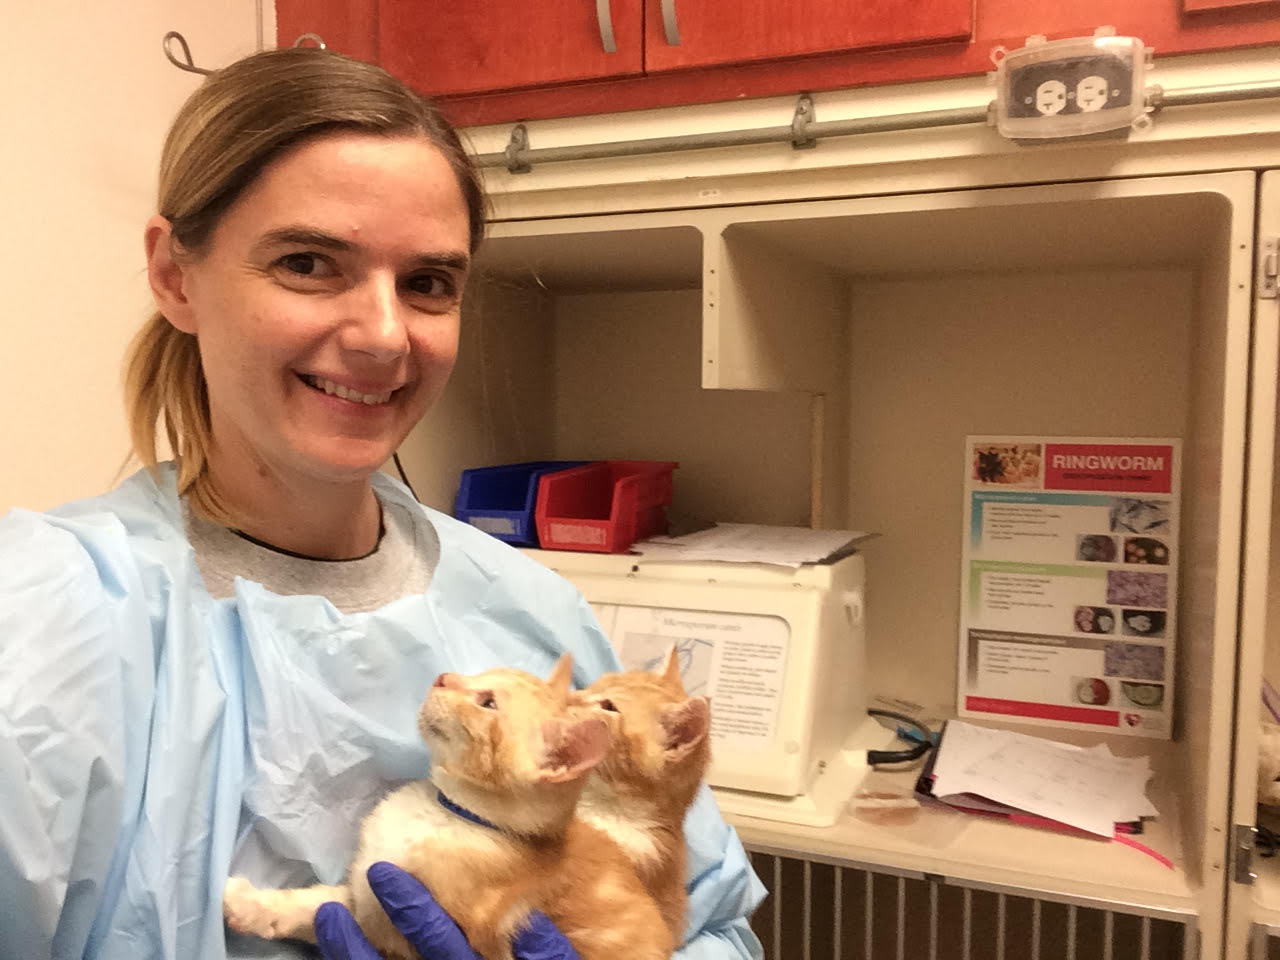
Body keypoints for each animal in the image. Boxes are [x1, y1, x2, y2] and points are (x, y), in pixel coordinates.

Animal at [224, 660, 675, 960]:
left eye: (487, 702)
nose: (444, 676)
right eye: (480, 675)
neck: (447, 814)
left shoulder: (408, 931)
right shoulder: (366, 890)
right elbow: (319, 905)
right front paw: (253, 905)